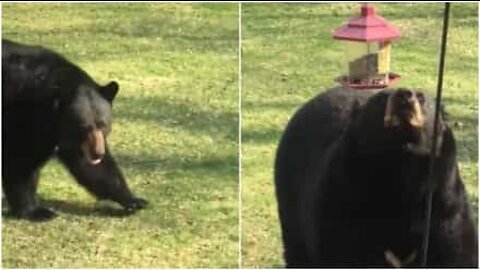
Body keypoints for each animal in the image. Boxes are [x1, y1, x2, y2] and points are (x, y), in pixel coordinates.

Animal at [2, 39, 148, 221]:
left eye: (103, 125)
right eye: (84, 127)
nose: (98, 153)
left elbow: (91, 166)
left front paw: (133, 200)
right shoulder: (21, 115)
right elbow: (20, 160)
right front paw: (35, 211)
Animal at [276, 87, 478, 268]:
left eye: (421, 97)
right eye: (381, 98)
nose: (404, 95)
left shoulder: (443, 207)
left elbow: (457, 251)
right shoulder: (344, 199)